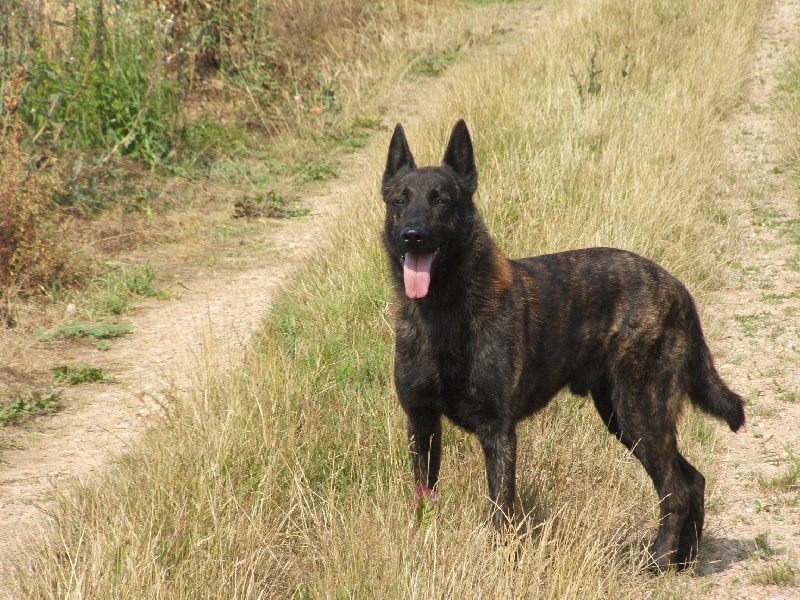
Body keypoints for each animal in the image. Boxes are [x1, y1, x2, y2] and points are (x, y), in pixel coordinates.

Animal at [380, 119, 745, 571]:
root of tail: (678, 289)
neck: (444, 313)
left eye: (442, 201)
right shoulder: (422, 422)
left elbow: (500, 512)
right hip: (625, 418)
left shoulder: (498, 433)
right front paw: (423, 544)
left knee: (676, 490)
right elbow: (425, 500)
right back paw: (685, 562)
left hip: (639, 413)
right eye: (399, 200)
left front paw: (499, 562)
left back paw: (658, 563)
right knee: (693, 481)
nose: (412, 236)